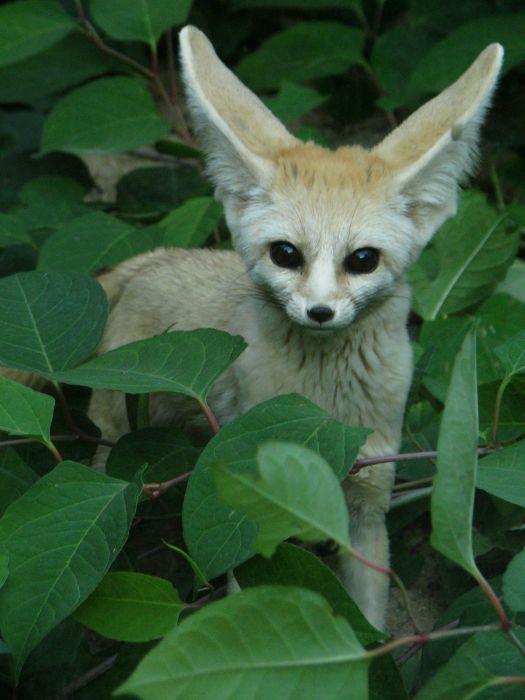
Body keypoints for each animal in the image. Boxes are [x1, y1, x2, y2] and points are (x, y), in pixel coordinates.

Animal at [85, 28, 503, 629]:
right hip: (115, 447)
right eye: (286, 254)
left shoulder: (368, 504)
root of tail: (151, 260)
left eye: (362, 260)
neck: (324, 402)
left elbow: (369, 622)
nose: (320, 312)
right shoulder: (253, 515)